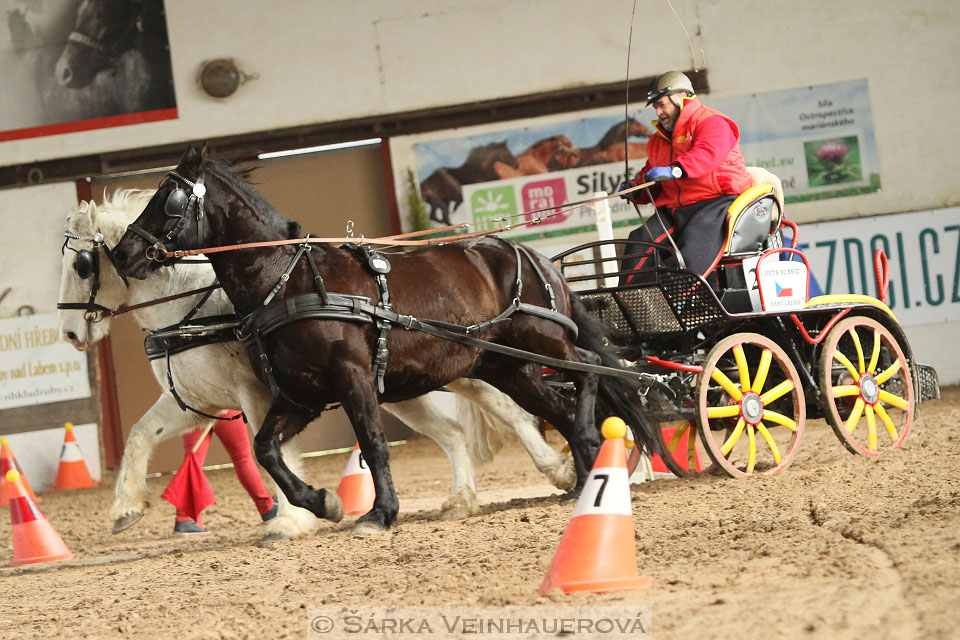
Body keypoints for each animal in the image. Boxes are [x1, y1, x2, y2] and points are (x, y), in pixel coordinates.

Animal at [58, 189, 568, 540]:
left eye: (82, 264)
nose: (69, 334)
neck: (191, 309)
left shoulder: (256, 393)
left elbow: (269, 454)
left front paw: (293, 518)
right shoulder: (195, 401)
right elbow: (141, 433)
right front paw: (125, 509)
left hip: (466, 367)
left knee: (510, 411)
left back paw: (556, 470)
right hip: (404, 388)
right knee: (455, 433)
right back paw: (462, 499)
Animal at [110, 146, 652, 536]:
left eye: (168, 199)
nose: (122, 254)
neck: (288, 279)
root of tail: (533, 256)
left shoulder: (351, 378)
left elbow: (372, 444)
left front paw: (379, 513)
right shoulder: (302, 394)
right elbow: (266, 449)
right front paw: (323, 503)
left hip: (543, 343)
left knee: (590, 370)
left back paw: (589, 444)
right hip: (508, 367)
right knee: (559, 404)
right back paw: (582, 475)